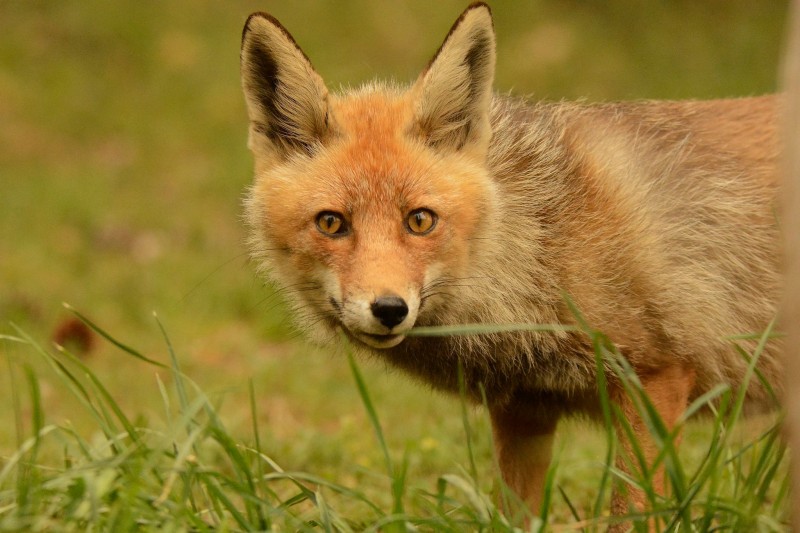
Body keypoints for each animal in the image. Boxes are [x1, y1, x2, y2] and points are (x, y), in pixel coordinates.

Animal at [239, 2, 780, 528]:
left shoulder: (655, 375)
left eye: (420, 220)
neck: (539, 246)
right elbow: (514, 514)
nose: (389, 309)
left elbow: (632, 515)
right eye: (332, 223)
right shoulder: (525, 407)